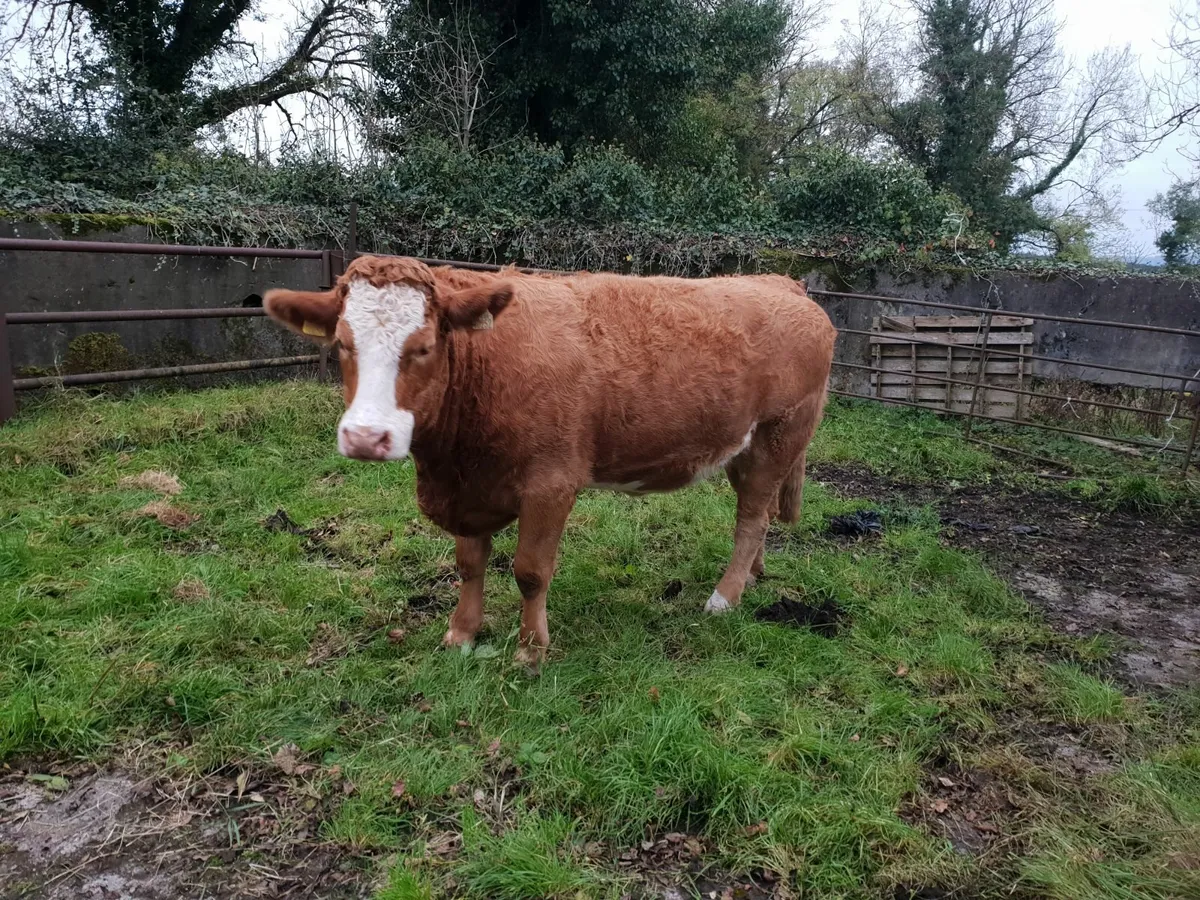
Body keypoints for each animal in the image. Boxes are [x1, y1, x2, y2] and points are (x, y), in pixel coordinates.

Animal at [264, 255, 836, 668]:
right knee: (760, 516)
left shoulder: (550, 485)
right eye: (342, 344)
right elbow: (470, 564)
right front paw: (461, 633)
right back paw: (754, 575)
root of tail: (782, 284)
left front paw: (530, 650)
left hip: (779, 435)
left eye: (424, 346)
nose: (365, 437)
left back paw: (725, 596)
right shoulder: (468, 490)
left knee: (752, 518)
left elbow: (530, 572)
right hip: (747, 446)